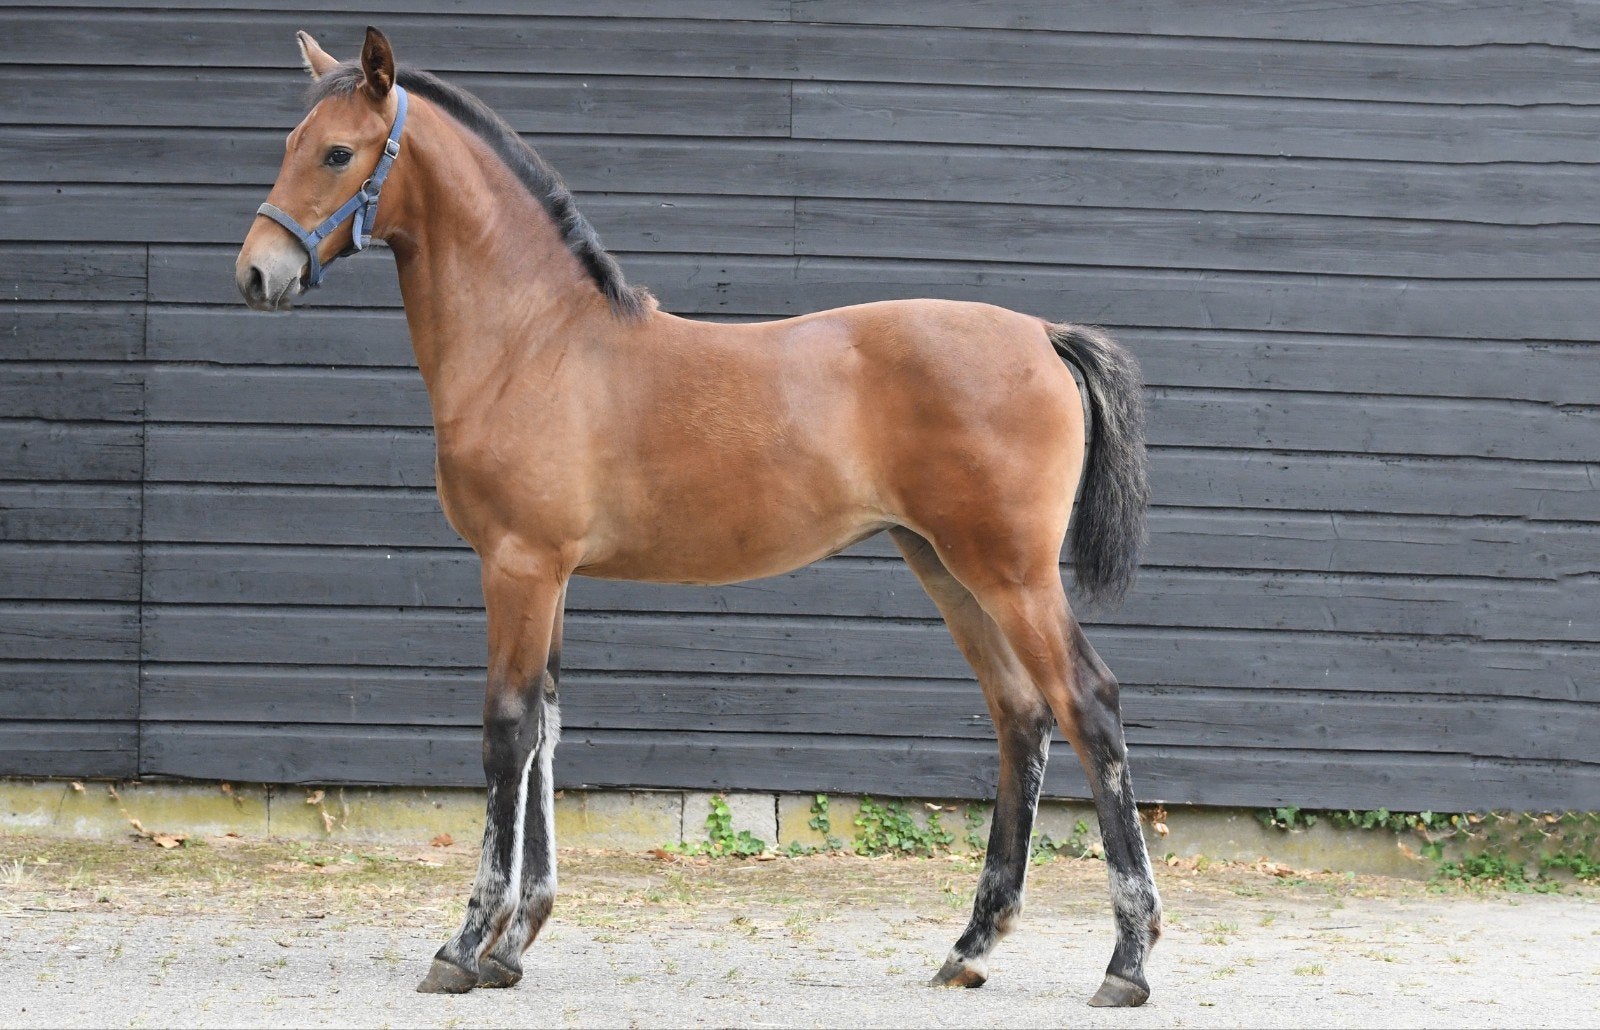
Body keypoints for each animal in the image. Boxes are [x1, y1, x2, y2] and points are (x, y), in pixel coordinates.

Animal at [235, 27, 1162, 1007]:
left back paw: (1128, 961)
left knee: (1088, 705)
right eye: (291, 142)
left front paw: (463, 943)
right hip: (945, 566)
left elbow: (506, 730)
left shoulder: (517, 564)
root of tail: (1042, 335)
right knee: (1019, 715)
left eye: (338, 152)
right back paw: (972, 944)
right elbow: (547, 733)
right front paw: (513, 944)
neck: (535, 341)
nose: (257, 271)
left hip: (1010, 574)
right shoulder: (552, 574)